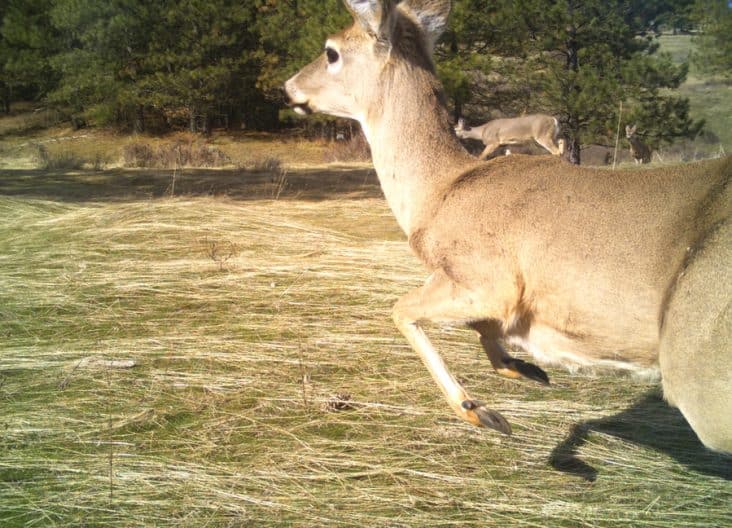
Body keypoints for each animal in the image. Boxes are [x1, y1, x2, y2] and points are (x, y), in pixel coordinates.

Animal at [285, 0, 732, 453]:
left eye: (331, 52)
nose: (289, 86)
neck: (441, 192)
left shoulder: (488, 278)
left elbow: (401, 310)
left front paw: (482, 412)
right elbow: (484, 330)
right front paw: (525, 368)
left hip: (703, 375)